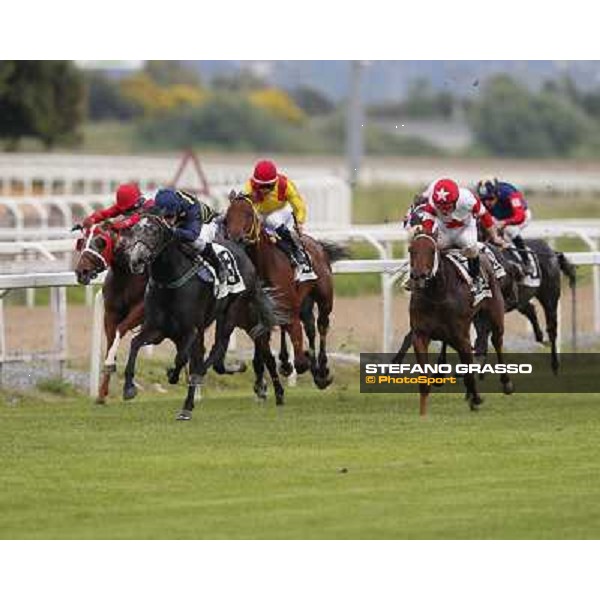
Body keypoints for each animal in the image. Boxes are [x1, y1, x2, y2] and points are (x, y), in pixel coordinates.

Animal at [74, 224, 146, 404]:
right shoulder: (110, 314)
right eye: (82, 242)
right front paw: (102, 392)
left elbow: (121, 330)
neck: (126, 275)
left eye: (100, 242)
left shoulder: (141, 310)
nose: (81, 272)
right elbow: (111, 339)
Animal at [120, 213, 288, 420]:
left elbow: (182, 358)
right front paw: (129, 388)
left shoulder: (191, 330)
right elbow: (135, 344)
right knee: (218, 358)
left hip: (234, 313)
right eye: (133, 231)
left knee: (221, 350)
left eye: (154, 231)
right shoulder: (156, 329)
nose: (136, 259)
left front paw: (174, 376)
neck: (170, 281)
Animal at [224, 192, 346, 390]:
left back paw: (321, 369)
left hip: (324, 298)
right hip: (302, 302)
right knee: (308, 327)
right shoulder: (259, 314)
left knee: (321, 325)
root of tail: (318, 245)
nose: (235, 239)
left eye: (249, 215)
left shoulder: (289, 311)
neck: (264, 265)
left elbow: (301, 360)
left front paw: (307, 362)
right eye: (227, 217)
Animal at [396, 234, 512, 418]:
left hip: (495, 314)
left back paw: (506, 383)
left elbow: (470, 371)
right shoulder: (420, 335)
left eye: (432, 250)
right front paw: (423, 413)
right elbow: (424, 379)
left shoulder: (461, 336)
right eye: (410, 250)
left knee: (497, 340)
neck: (437, 294)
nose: (418, 276)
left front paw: (476, 398)